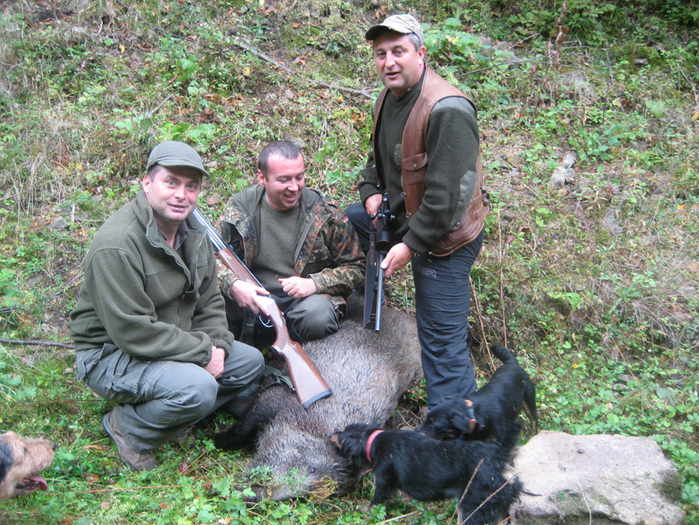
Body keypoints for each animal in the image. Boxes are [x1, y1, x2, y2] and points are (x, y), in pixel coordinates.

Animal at [330, 422, 524, 524]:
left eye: (342, 433)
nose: (330, 435)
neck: (374, 440)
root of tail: (497, 456)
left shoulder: (384, 480)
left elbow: (376, 501)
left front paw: (367, 510)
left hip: (472, 503)